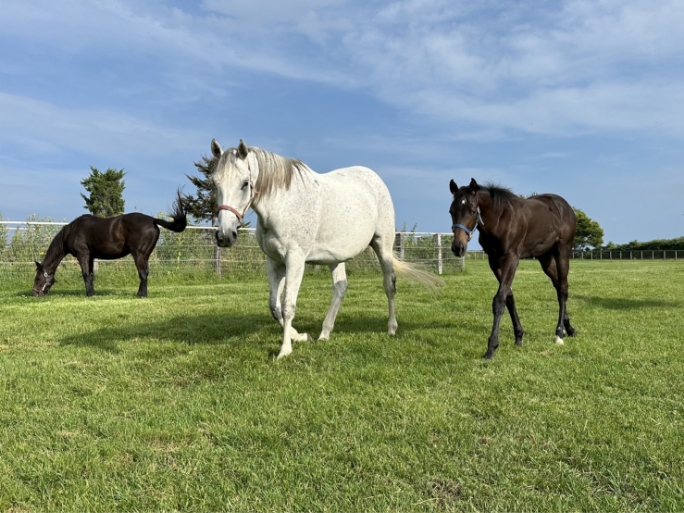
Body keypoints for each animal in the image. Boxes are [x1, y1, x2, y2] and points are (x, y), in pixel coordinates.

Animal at [33, 190, 187, 298]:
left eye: (38, 277)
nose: (34, 293)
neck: (72, 231)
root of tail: (152, 220)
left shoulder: (83, 254)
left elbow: (85, 274)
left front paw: (89, 295)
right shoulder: (90, 256)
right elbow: (91, 275)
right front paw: (92, 293)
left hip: (139, 255)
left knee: (142, 274)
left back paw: (141, 296)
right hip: (145, 256)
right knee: (146, 273)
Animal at [210, 139, 442, 359]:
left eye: (245, 183)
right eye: (215, 182)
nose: (225, 236)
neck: (282, 205)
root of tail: (374, 179)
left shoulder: (295, 259)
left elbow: (288, 306)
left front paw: (285, 350)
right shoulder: (275, 262)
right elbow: (274, 307)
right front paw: (301, 336)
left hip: (382, 246)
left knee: (389, 286)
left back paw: (391, 328)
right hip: (335, 257)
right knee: (340, 287)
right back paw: (324, 333)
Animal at [449, 178, 577, 359]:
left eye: (473, 211)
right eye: (451, 211)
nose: (458, 247)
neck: (500, 220)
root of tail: (565, 206)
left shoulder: (511, 258)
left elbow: (499, 299)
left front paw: (491, 347)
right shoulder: (494, 261)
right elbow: (509, 297)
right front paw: (519, 336)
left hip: (562, 251)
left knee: (563, 288)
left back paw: (559, 333)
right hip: (545, 258)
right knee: (559, 286)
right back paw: (569, 328)